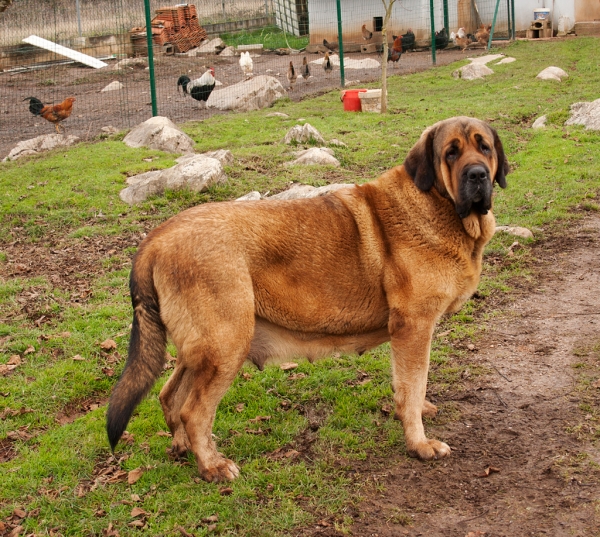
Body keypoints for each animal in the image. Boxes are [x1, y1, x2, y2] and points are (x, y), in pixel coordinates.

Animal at [106, 116, 506, 482]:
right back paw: (212, 466)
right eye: (451, 152)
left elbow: (408, 384)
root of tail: (155, 239)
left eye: (484, 147)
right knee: (194, 412)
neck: (438, 205)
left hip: (203, 351)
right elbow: (413, 384)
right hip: (226, 346)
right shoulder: (414, 328)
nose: (477, 175)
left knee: (169, 396)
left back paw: (183, 447)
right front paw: (419, 443)